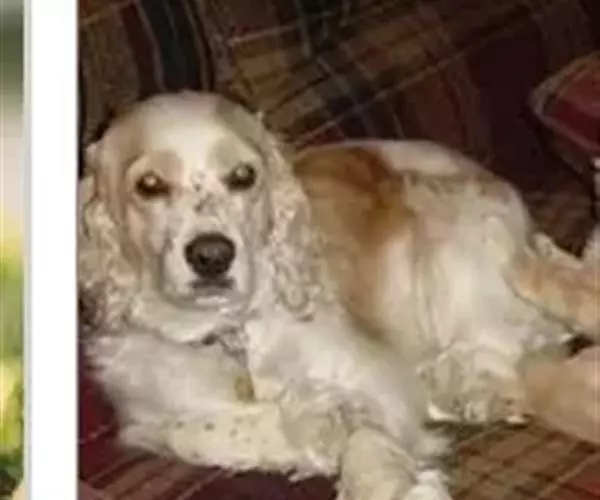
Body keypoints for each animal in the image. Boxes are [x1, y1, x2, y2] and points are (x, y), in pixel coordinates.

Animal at [79, 92, 598, 500]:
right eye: (149, 185)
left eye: (244, 176)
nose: (211, 255)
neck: (229, 334)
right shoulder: (143, 417)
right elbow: (192, 430)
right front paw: (310, 425)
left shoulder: (375, 376)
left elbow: (368, 443)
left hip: (447, 230)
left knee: (513, 348)